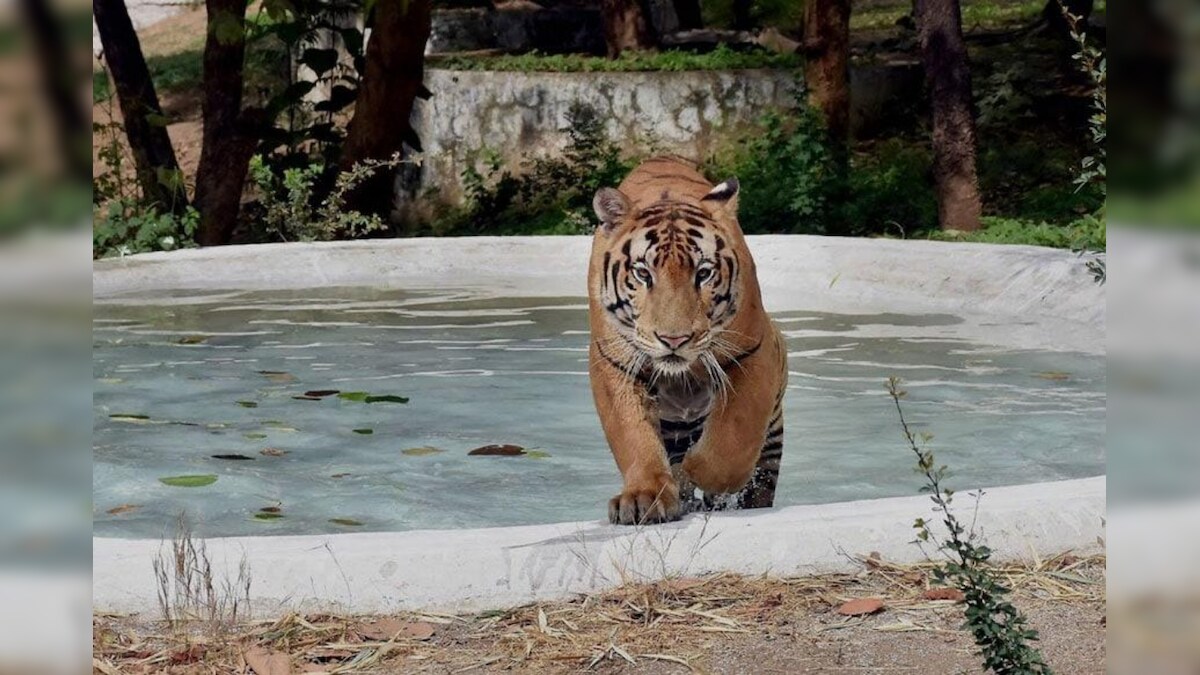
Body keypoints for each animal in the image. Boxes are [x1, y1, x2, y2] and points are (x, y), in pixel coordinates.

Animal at [588, 154, 787, 523]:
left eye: (704, 273)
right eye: (643, 273)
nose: (674, 339)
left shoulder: (751, 353)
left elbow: (731, 442)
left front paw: (691, 473)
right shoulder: (614, 362)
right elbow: (633, 436)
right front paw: (643, 497)